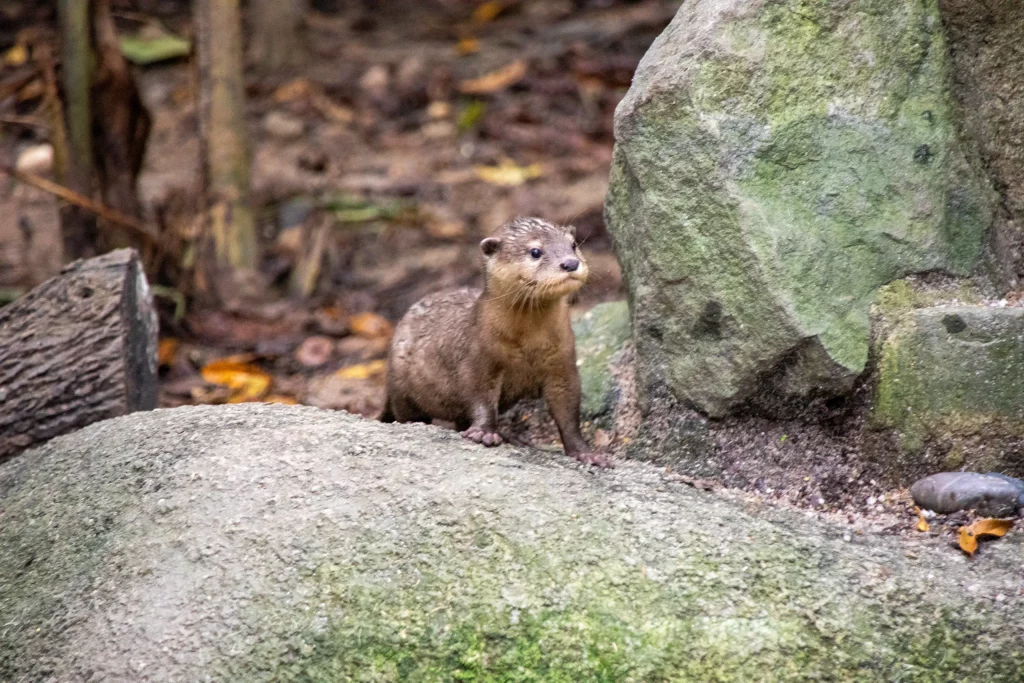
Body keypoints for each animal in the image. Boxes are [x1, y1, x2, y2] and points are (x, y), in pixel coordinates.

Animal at [380, 217, 611, 468]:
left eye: (573, 245)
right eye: (535, 251)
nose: (570, 263)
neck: (528, 346)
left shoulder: (563, 363)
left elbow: (569, 413)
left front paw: (586, 453)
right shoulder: (479, 357)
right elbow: (480, 397)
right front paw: (484, 433)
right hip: (402, 388)